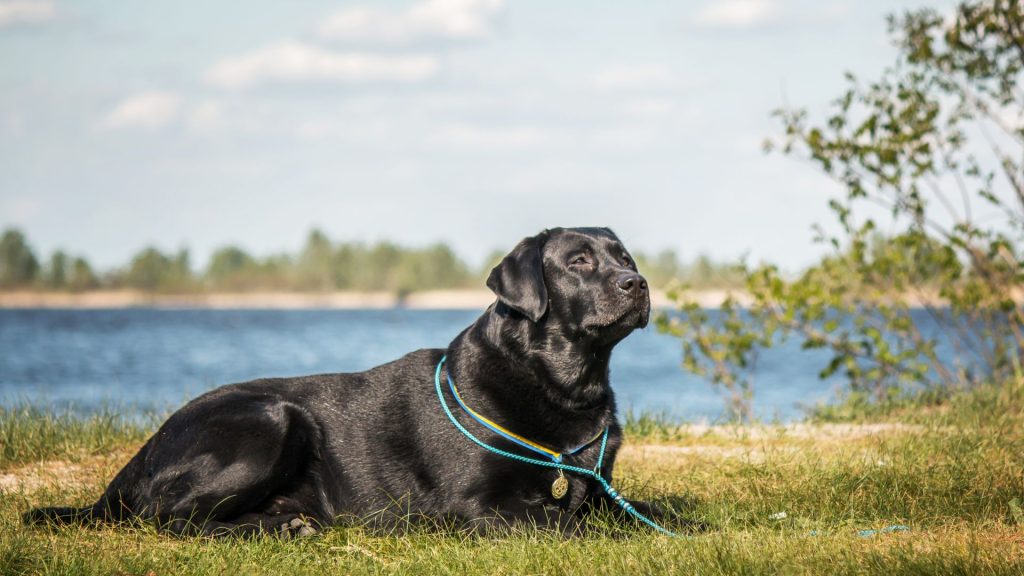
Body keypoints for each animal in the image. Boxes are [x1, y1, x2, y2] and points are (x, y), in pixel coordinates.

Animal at [28, 225, 659, 532]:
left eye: (624, 256)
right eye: (578, 261)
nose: (638, 282)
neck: (564, 384)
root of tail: (142, 453)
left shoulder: (601, 489)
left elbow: (643, 513)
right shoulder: (472, 505)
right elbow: (571, 524)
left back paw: (286, 524)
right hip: (270, 420)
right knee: (166, 518)